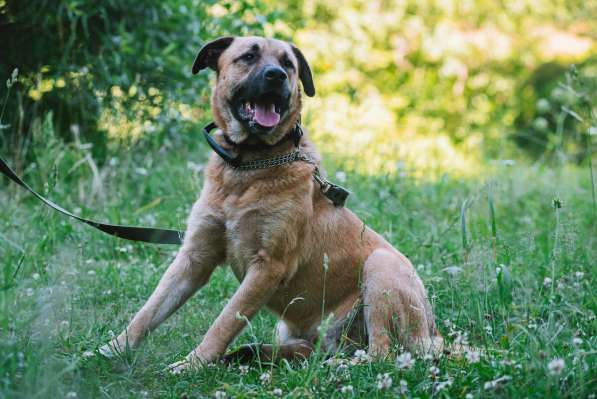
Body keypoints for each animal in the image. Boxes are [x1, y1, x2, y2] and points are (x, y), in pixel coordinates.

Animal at [99, 36, 442, 374]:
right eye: (248, 57)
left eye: (287, 64)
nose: (276, 76)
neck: (247, 166)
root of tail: (434, 336)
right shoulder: (195, 256)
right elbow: (150, 310)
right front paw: (114, 349)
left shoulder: (267, 266)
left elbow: (225, 321)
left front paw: (194, 363)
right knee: (310, 353)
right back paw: (250, 355)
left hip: (382, 267)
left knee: (383, 354)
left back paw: (339, 366)